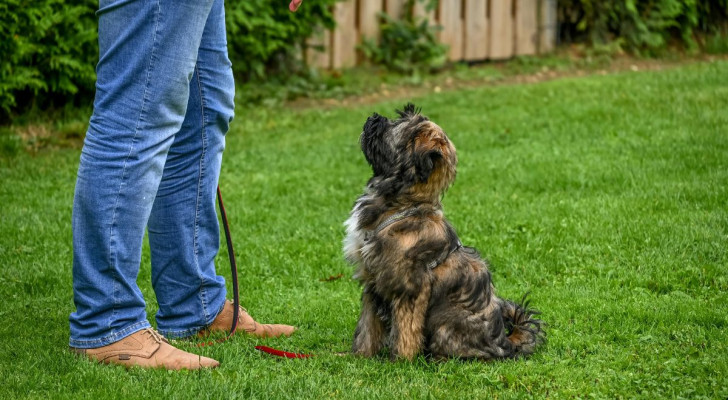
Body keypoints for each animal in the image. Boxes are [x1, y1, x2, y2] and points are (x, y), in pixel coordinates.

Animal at [344, 104, 544, 360]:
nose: (373, 118)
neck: (403, 205)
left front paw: (401, 361)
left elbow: (406, 330)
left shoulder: (410, 289)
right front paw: (360, 356)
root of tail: (504, 342)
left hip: (444, 323)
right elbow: (367, 327)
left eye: (393, 127)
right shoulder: (373, 282)